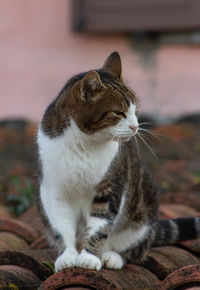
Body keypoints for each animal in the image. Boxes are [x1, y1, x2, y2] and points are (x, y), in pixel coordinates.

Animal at [36, 52, 200, 272]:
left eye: (135, 110)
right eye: (118, 112)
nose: (135, 127)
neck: (84, 142)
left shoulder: (110, 186)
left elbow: (100, 225)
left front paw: (90, 257)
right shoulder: (55, 191)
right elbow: (62, 225)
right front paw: (68, 255)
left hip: (145, 205)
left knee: (135, 248)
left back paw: (111, 256)